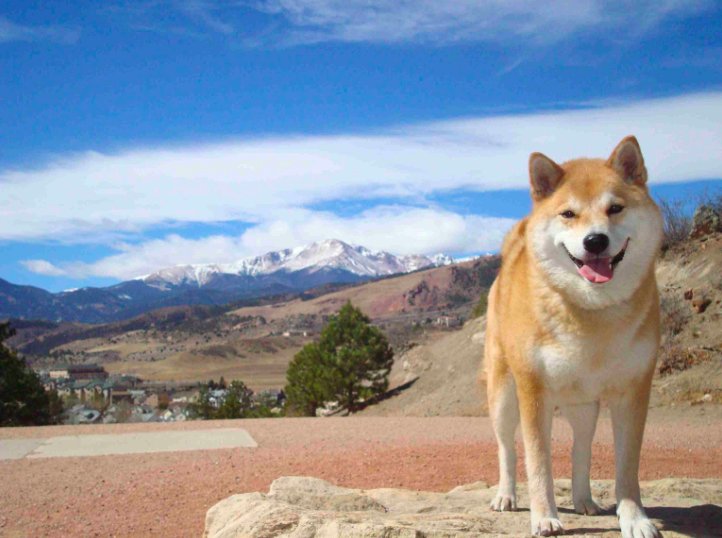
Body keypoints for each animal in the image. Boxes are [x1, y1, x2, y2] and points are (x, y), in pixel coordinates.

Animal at [486, 136, 660, 532]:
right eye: (568, 214)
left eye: (615, 208)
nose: (595, 241)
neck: (591, 315)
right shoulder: (533, 391)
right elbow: (538, 463)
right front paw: (545, 518)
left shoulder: (633, 391)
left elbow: (627, 467)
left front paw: (634, 519)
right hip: (503, 396)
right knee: (507, 449)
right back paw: (506, 496)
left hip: (584, 405)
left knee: (581, 449)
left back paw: (584, 501)